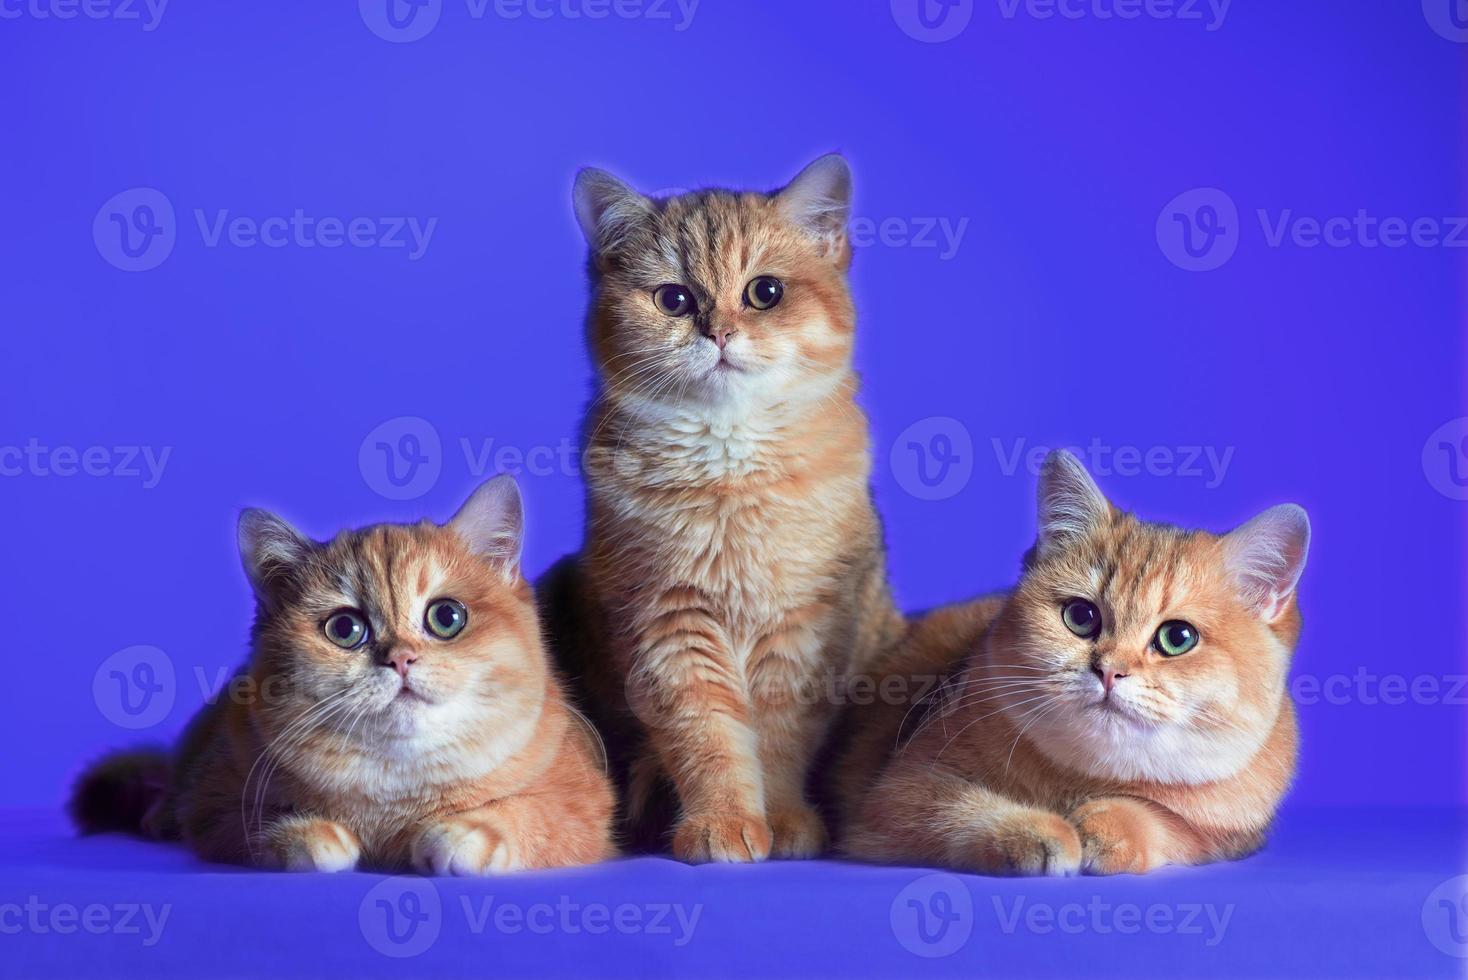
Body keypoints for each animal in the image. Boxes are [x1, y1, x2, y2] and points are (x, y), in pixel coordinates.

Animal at [74, 475, 616, 874]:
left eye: (447, 617)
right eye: (345, 628)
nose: (400, 659)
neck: (399, 786)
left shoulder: (585, 803)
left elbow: (530, 815)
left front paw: (462, 834)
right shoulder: (216, 802)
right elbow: (258, 827)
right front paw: (312, 835)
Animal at [540, 154, 904, 862]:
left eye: (765, 292)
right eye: (674, 299)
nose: (720, 333)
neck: (729, 468)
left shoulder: (804, 627)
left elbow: (779, 740)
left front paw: (782, 820)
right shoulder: (670, 624)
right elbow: (708, 738)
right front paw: (724, 820)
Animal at [839, 451, 1309, 874]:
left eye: (1177, 638)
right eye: (1081, 617)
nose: (1110, 670)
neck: (1089, 779)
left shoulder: (1227, 836)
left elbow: (1168, 822)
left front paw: (1111, 825)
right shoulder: (901, 791)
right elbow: (961, 809)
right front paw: (1035, 831)